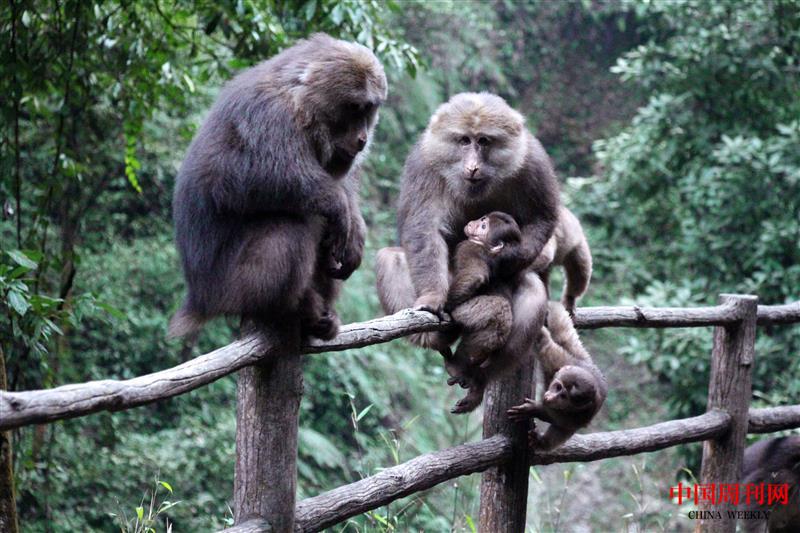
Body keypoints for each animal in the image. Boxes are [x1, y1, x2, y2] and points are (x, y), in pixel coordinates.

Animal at [170, 33, 390, 342]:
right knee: (290, 227)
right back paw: (288, 309)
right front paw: (337, 203)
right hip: (230, 288)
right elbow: (238, 176)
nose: (362, 138)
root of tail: (198, 300)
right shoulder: (270, 115)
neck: (301, 106)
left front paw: (356, 231)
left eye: (370, 110)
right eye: (355, 108)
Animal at [446, 210, 536, 414]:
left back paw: (458, 367)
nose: (473, 223)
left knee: (498, 314)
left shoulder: (468, 247)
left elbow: (474, 275)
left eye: (484, 227)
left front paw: (442, 306)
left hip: (471, 311)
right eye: (482, 220)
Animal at [506, 302, 608, 446]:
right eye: (558, 387)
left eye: (563, 396)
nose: (550, 397)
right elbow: (542, 342)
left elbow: (559, 422)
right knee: (561, 332)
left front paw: (533, 410)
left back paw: (542, 443)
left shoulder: (580, 416)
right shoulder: (556, 359)